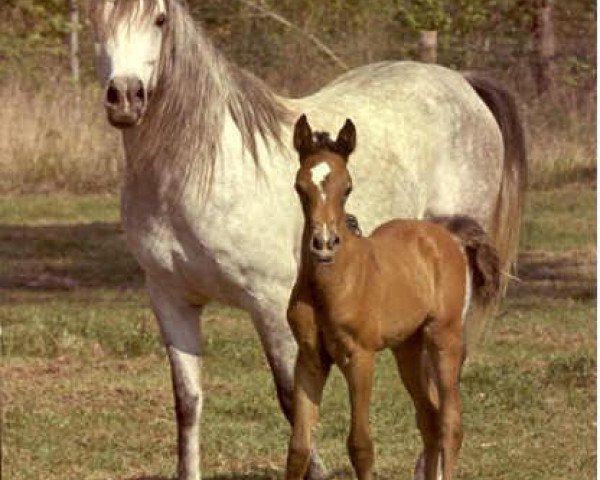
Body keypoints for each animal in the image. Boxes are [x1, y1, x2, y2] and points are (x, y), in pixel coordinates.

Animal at [286, 115, 502, 480]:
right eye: (300, 187)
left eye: (347, 187)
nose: (324, 244)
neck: (332, 284)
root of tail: (446, 235)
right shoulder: (310, 357)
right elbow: (299, 447)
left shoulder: (360, 356)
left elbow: (360, 444)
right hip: (407, 348)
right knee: (429, 419)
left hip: (443, 338)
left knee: (450, 423)